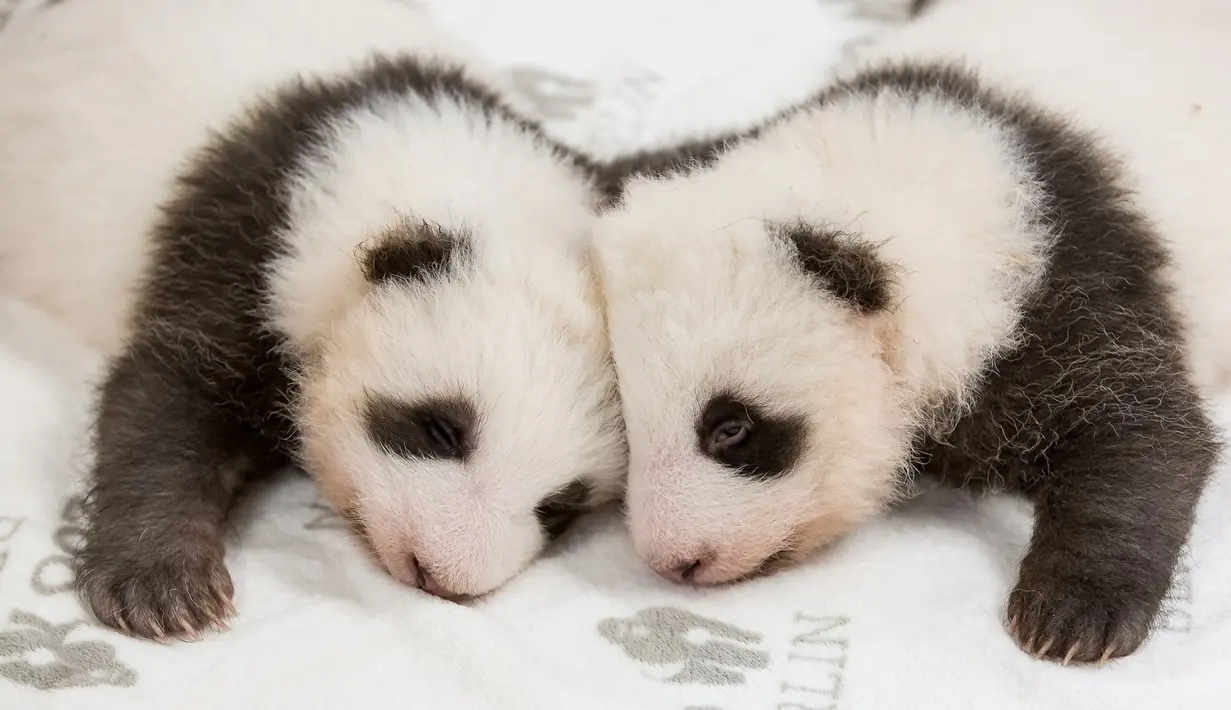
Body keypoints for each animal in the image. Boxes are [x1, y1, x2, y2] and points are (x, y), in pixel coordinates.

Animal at [0, 0, 627, 641]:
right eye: (440, 430)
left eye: (559, 507)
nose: (439, 574)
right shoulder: (242, 245)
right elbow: (166, 392)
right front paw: (161, 585)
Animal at [593, 0, 1231, 666]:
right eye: (628, 425)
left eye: (731, 429)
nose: (674, 562)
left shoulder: (1071, 280)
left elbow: (1147, 429)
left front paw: (1072, 614)